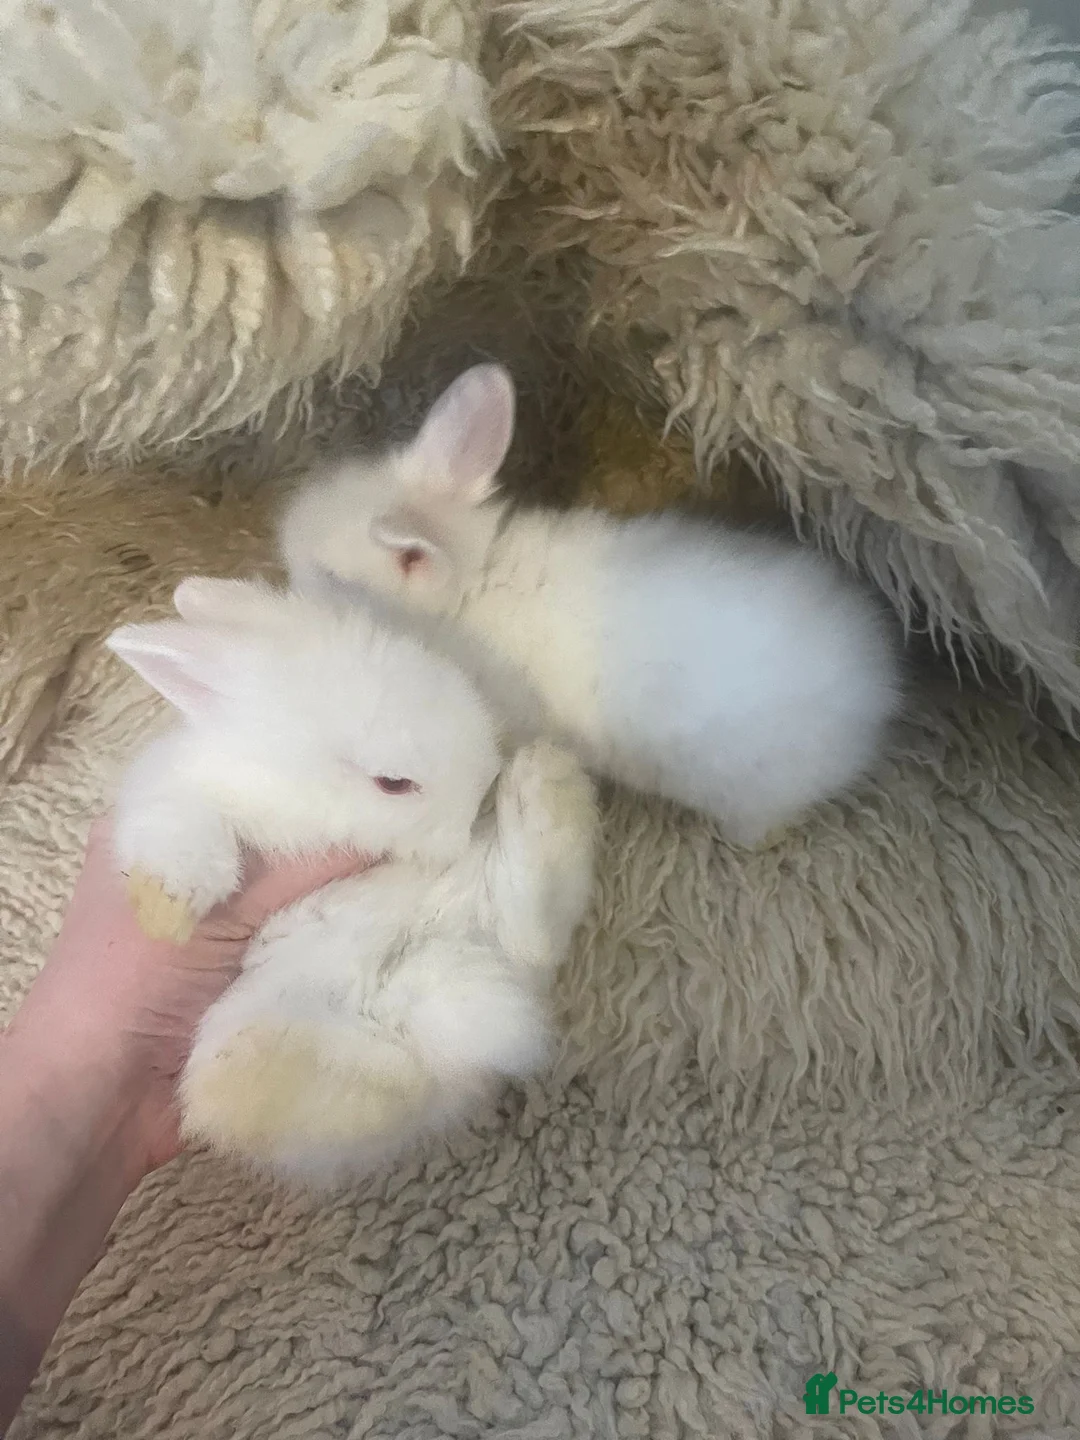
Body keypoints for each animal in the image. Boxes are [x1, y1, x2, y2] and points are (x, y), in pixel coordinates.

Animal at [106, 576, 598, 1185]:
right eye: (393, 783)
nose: (476, 805)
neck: (291, 788)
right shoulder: (175, 791)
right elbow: (179, 831)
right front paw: (165, 912)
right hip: (254, 1026)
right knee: (266, 1083)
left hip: (484, 913)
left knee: (530, 933)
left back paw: (546, 779)